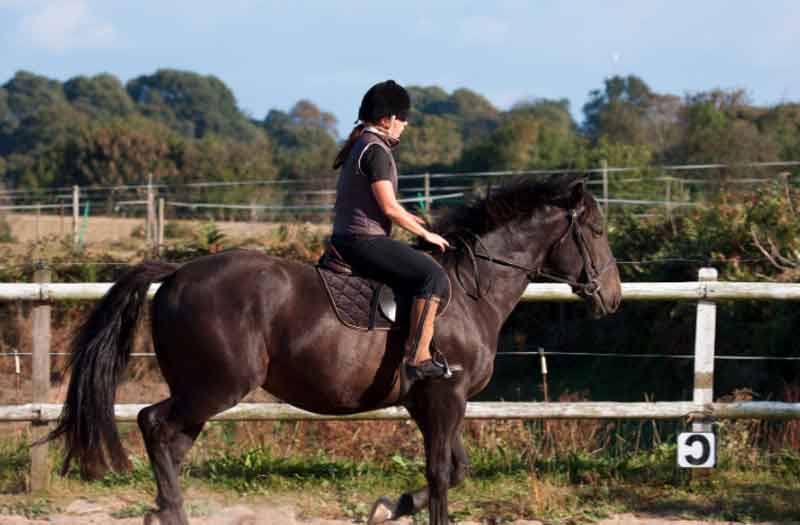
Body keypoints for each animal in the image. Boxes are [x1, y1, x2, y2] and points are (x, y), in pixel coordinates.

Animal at [43, 175, 620, 524]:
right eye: (595, 229)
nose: (611, 297)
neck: (469, 292)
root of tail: (178, 272)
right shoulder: (444, 397)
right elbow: (440, 474)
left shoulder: (432, 402)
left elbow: (455, 470)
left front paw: (388, 506)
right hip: (216, 387)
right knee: (153, 423)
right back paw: (172, 511)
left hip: (200, 393)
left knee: (170, 442)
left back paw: (163, 510)